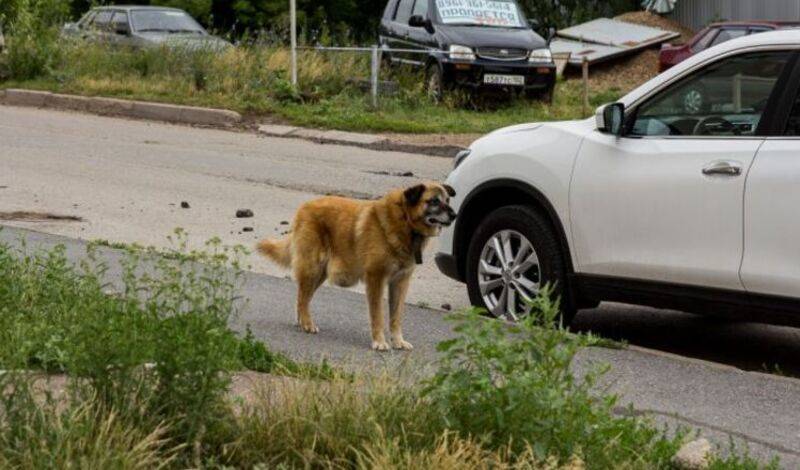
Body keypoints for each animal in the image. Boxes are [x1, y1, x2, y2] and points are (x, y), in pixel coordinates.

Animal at [256, 182, 456, 350]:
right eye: (434, 201)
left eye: (447, 200)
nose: (454, 215)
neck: (405, 220)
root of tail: (305, 206)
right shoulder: (376, 279)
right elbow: (378, 315)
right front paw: (379, 342)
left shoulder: (400, 282)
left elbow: (396, 316)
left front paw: (398, 341)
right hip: (313, 268)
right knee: (303, 298)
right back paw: (307, 323)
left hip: (320, 273)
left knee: (302, 297)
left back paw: (302, 322)